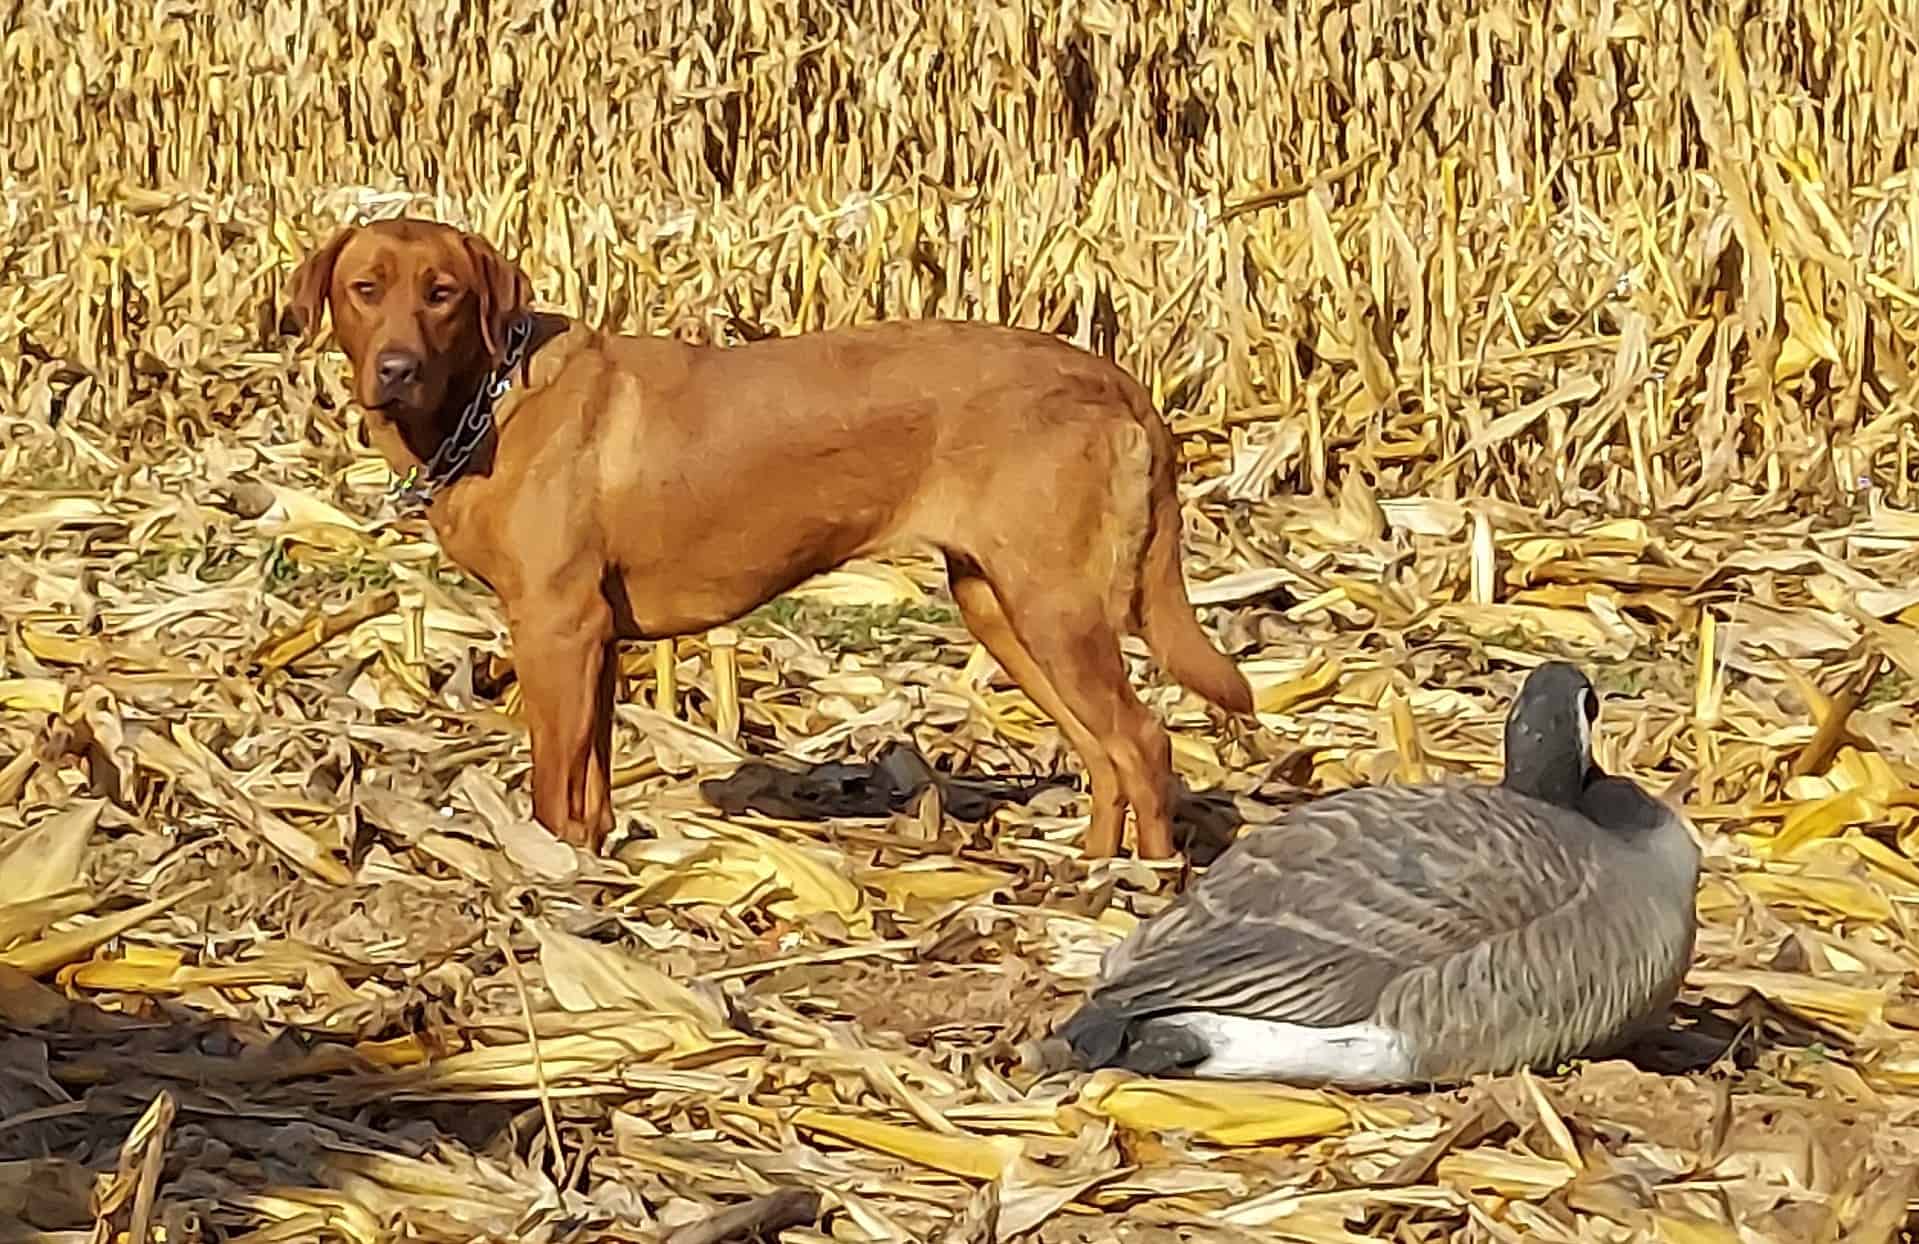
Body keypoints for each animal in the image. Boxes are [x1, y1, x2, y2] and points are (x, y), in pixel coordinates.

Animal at [278, 218, 1251, 860]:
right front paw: (591, 866)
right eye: (365, 289)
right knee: (1103, 751)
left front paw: (546, 873)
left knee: (1143, 742)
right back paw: (1086, 871)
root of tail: (1114, 378)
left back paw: (1142, 888)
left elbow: (554, 780)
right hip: (1002, 607)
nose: (395, 369)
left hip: (1054, 607)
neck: (487, 402)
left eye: (442, 295)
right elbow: (590, 782)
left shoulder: (555, 627)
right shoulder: (596, 639)